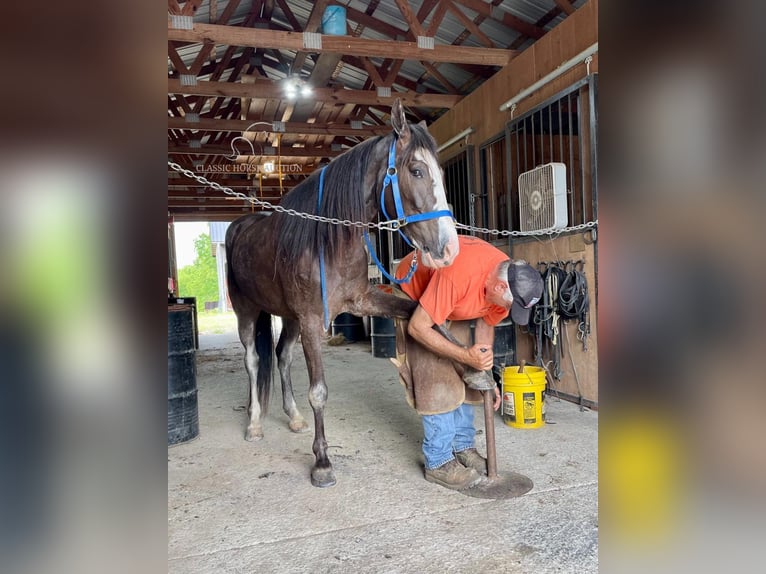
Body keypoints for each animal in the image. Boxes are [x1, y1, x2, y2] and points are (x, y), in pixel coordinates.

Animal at [225, 101, 460, 488]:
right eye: (416, 170)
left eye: (441, 173)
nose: (449, 249)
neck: (327, 241)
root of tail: (239, 227)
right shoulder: (311, 320)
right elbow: (319, 392)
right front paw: (322, 463)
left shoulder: (362, 301)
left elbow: (417, 312)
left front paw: (475, 372)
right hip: (248, 312)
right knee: (253, 360)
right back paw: (255, 423)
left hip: (288, 318)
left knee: (281, 357)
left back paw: (293, 417)